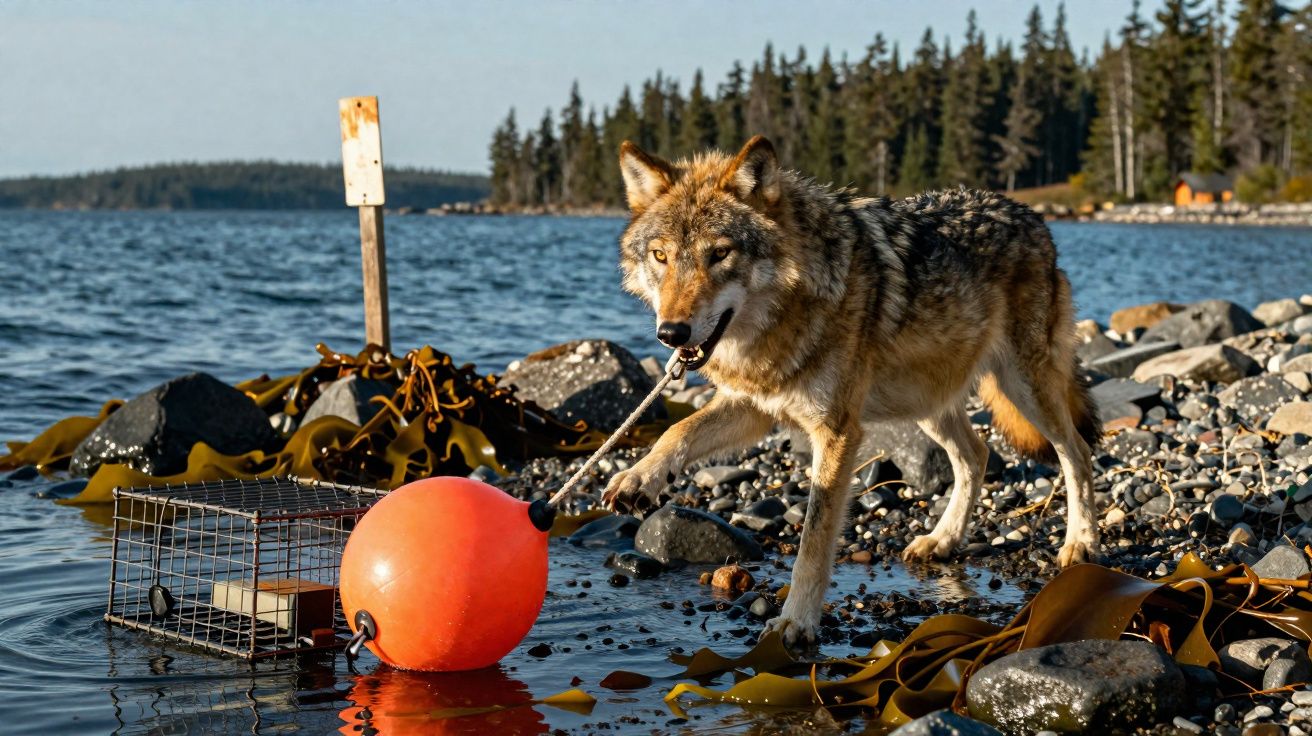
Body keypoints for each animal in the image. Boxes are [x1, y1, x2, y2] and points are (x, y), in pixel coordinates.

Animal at [601, 135, 1100, 648]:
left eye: (720, 254)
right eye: (660, 256)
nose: (671, 334)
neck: (787, 313)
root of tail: (1030, 214)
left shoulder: (837, 431)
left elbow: (814, 540)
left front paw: (797, 621)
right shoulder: (754, 406)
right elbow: (678, 430)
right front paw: (638, 478)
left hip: (1024, 388)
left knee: (1076, 453)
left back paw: (1080, 542)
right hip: (927, 401)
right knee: (976, 455)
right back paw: (942, 540)